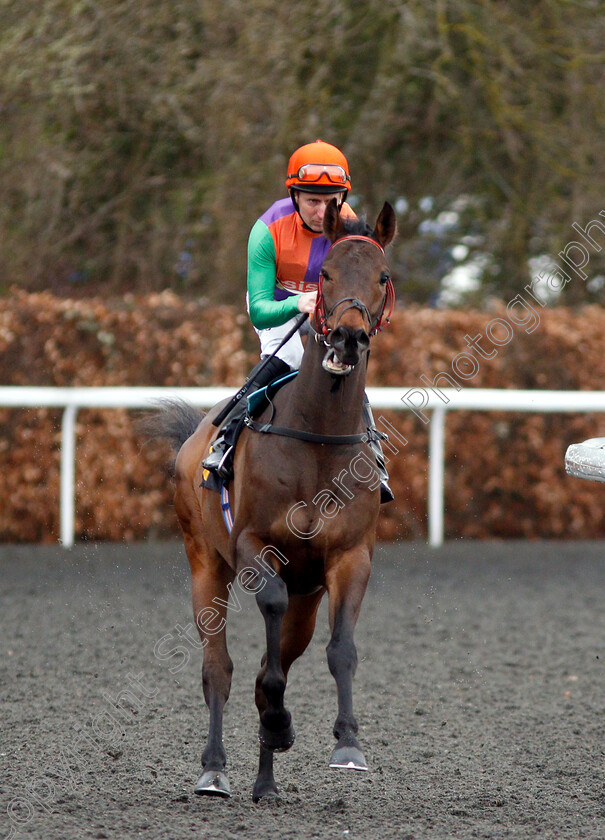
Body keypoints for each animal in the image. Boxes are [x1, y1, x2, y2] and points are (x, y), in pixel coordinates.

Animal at [151, 199, 396, 800]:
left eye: (382, 277)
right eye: (324, 274)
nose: (348, 338)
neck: (317, 437)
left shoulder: (350, 556)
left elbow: (339, 648)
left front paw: (346, 744)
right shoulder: (255, 546)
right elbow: (265, 630)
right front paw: (277, 726)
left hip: (308, 594)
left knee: (277, 656)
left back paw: (266, 780)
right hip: (204, 564)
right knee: (219, 667)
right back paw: (215, 770)